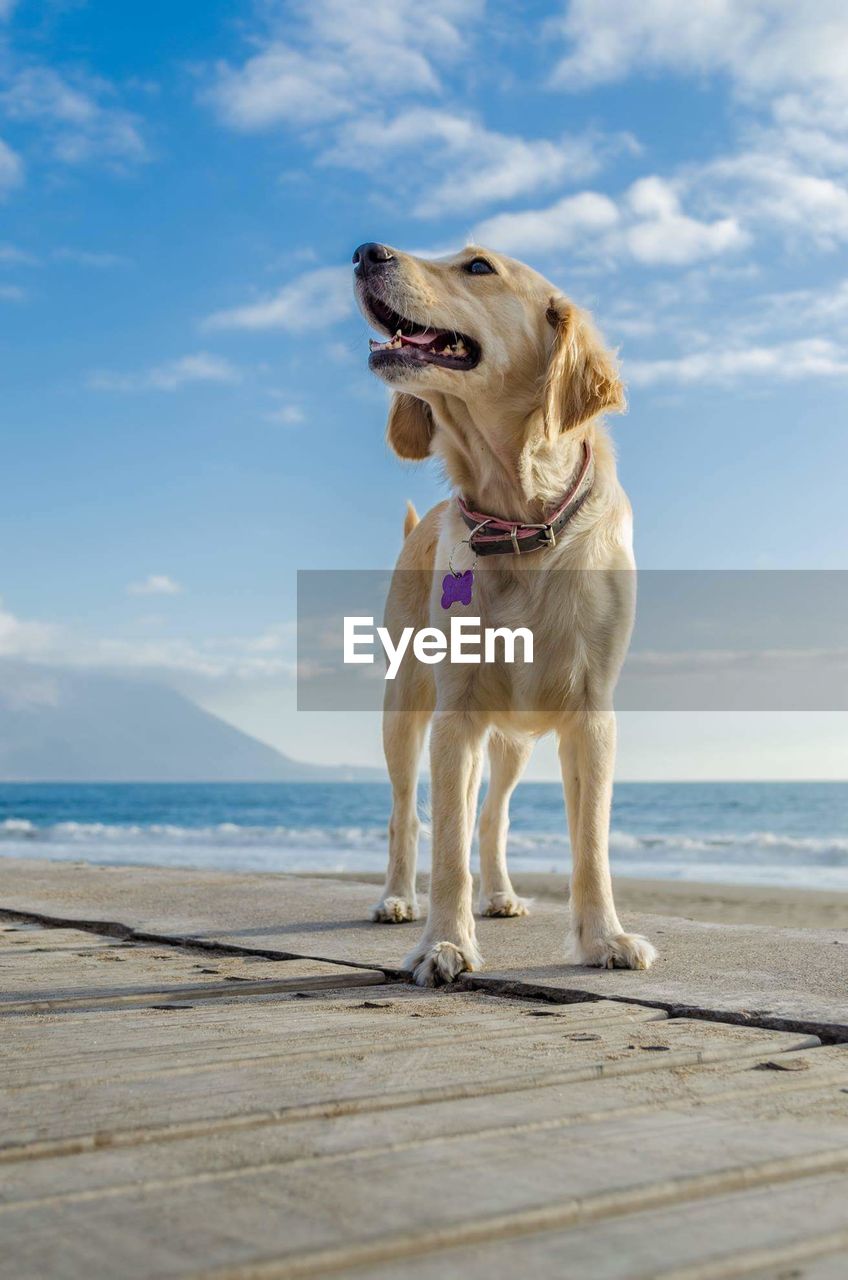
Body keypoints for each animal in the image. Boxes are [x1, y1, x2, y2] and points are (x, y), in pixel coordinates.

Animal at [350, 240, 655, 983]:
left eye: (480, 267)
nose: (366, 251)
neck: (520, 519)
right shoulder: (455, 717)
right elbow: (445, 847)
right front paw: (443, 943)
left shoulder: (591, 713)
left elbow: (590, 845)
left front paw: (605, 938)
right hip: (406, 709)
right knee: (409, 815)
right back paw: (397, 898)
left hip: (511, 741)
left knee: (492, 817)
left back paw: (500, 894)